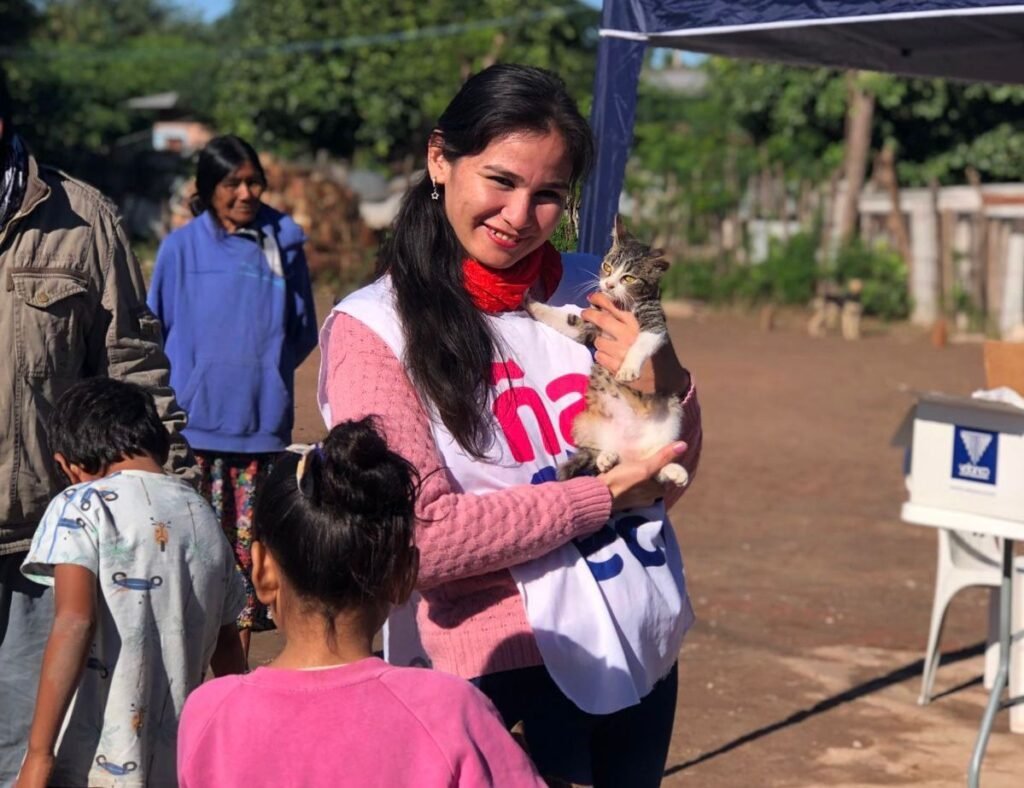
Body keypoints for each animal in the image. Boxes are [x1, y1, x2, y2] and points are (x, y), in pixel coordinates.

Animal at [524, 217, 689, 487]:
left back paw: (674, 470)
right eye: (608, 267)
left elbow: (642, 342)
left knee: (653, 466)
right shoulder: (589, 325)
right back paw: (607, 458)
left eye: (629, 278)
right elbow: (565, 320)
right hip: (584, 422)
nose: (608, 284)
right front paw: (531, 302)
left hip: (671, 416)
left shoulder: (654, 320)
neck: (622, 305)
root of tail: (629, 449)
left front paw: (628, 369)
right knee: (598, 455)